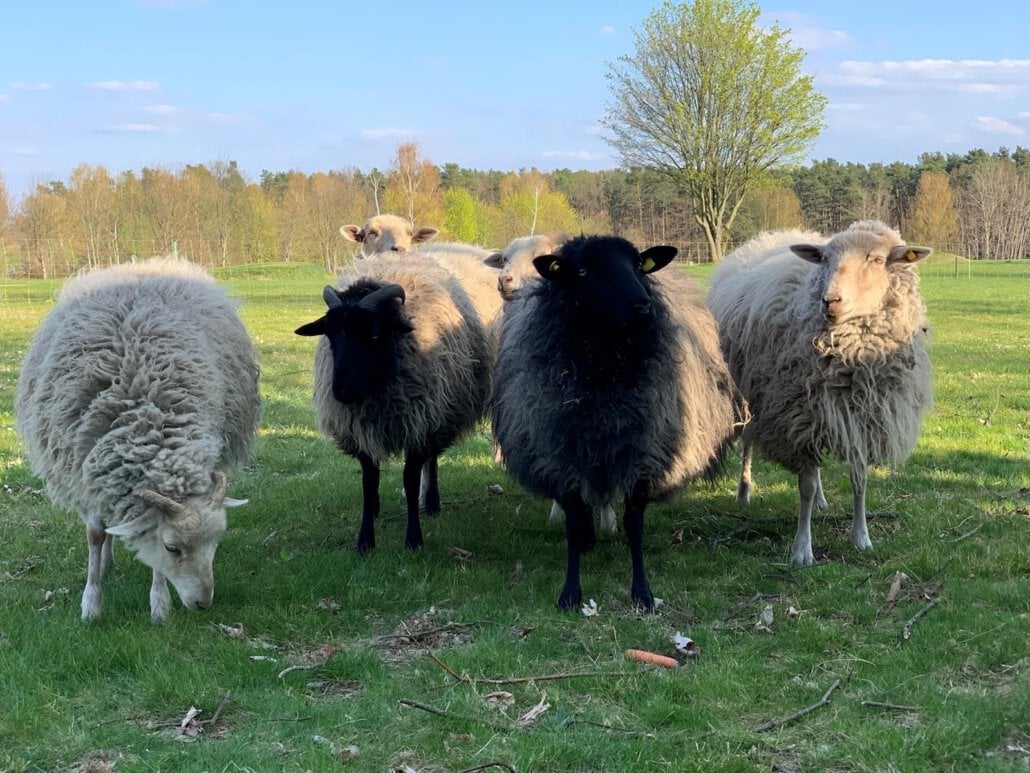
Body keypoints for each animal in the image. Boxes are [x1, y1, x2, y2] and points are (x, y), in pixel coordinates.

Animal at [14, 257, 260, 622]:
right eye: (173, 547)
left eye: (216, 542)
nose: (203, 604)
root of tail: (147, 263)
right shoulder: (86, 468)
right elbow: (95, 534)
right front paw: (91, 603)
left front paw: (159, 604)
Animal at [295, 248, 503, 553]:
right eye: (331, 336)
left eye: (374, 334)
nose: (342, 393)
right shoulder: (359, 429)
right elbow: (369, 482)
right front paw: (365, 540)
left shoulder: (420, 422)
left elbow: (410, 478)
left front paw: (413, 539)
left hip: (438, 410)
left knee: (432, 458)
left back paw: (431, 503)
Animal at [707, 220, 933, 567]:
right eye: (825, 259)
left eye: (877, 259)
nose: (831, 301)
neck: (853, 363)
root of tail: (768, 237)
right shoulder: (800, 418)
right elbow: (806, 486)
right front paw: (802, 549)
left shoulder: (861, 419)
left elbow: (859, 480)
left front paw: (861, 537)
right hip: (751, 394)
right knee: (747, 443)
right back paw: (744, 491)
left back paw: (823, 502)